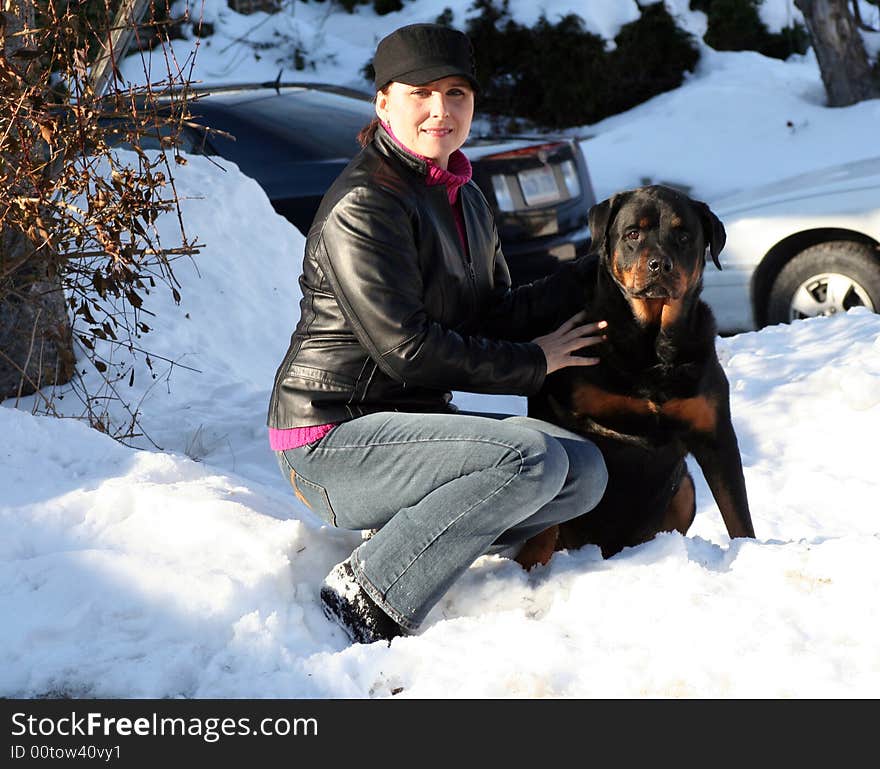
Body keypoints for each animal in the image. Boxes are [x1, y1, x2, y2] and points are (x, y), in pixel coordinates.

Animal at [516, 184, 756, 568]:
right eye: (632, 234)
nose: (660, 264)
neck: (652, 345)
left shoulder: (715, 434)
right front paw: (530, 565)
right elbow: (546, 519)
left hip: (684, 488)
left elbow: (738, 514)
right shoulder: (560, 414)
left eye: (684, 235)